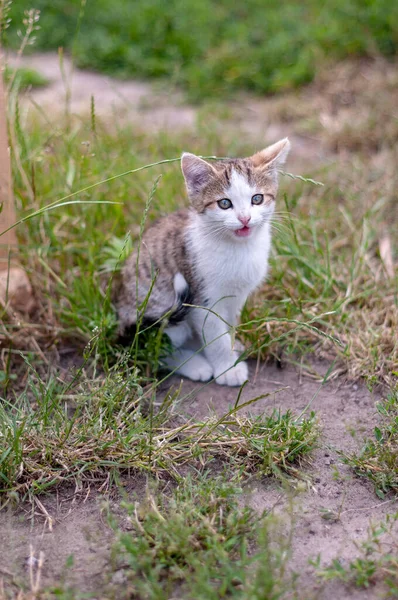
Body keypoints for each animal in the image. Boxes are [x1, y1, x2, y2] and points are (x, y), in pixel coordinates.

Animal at [115, 138, 290, 386]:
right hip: (161, 312)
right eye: (224, 203)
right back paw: (194, 364)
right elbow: (216, 338)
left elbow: (228, 326)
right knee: (153, 350)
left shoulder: (237, 297)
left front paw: (232, 347)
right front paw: (228, 368)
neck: (238, 249)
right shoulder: (202, 299)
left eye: (257, 199)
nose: (245, 218)